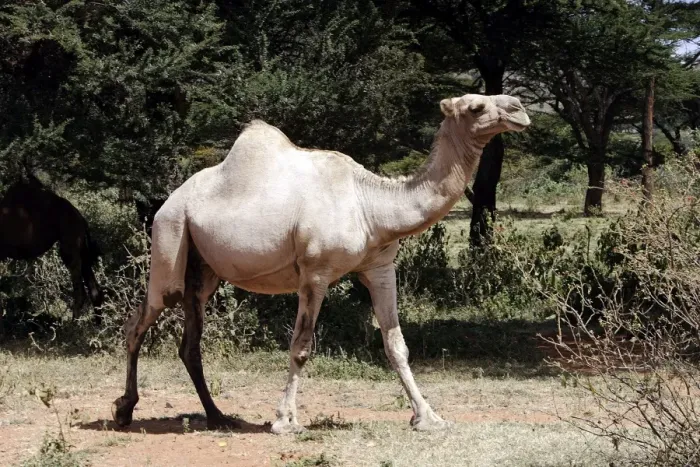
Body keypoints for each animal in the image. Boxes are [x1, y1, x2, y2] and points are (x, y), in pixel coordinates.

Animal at [111, 93, 530, 433]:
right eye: (476, 107)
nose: (519, 109)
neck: (372, 206)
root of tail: (167, 201)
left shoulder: (380, 268)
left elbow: (396, 345)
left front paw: (428, 418)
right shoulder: (315, 272)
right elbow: (301, 346)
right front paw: (285, 421)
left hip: (204, 271)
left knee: (189, 342)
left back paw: (217, 416)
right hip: (170, 237)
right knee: (140, 321)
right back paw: (124, 410)